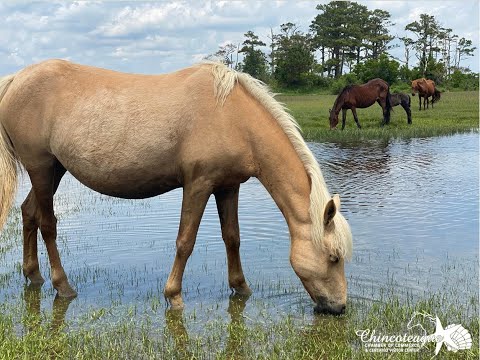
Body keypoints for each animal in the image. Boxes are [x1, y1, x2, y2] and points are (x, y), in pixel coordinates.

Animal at [0, 60, 352, 314]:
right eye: (334, 257)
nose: (339, 308)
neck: (233, 117)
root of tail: (16, 79)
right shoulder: (198, 184)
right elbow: (186, 241)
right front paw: (174, 296)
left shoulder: (228, 186)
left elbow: (232, 238)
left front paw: (241, 288)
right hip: (41, 168)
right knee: (48, 223)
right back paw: (62, 286)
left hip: (54, 170)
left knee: (29, 212)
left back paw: (33, 275)